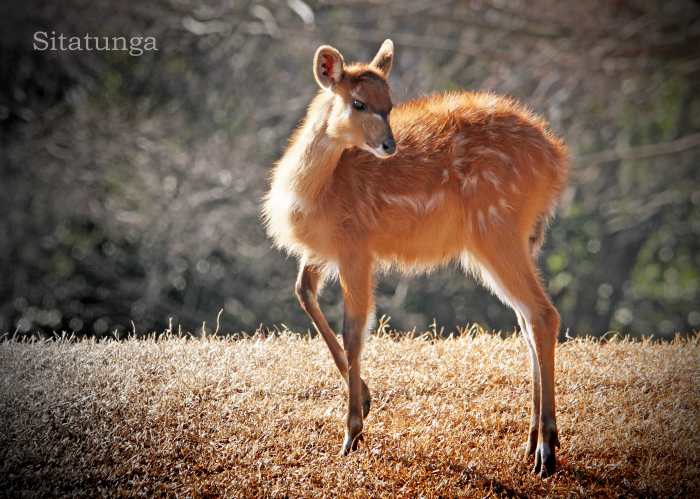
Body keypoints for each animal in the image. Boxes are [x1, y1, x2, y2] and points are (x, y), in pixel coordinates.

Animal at [262, 39, 568, 476]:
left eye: (389, 104)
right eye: (358, 102)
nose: (389, 145)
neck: (316, 193)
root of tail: (557, 163)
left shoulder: (356, 246)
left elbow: (355, 331)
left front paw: (352, 433)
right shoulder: (323, 250)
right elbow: (303, 291)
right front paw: (366, 400)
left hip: (496, 231)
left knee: (543, 314)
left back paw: (546, 450)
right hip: (513, 240)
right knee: (527, 320)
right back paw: (532, 442)